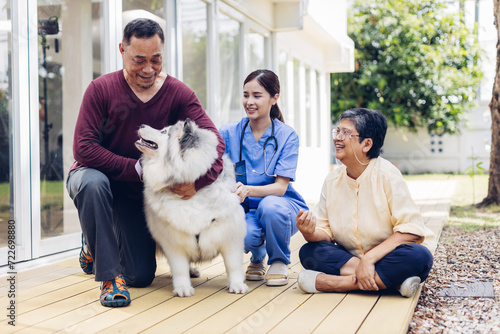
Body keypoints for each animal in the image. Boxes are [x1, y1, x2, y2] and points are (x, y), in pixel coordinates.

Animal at [136, 118, 247, 296]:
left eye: (164, 132)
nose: (141, 125)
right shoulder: (173, 242)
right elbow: (179, 268)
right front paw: (182, 288)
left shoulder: (231, 237)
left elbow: (233, 266)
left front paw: (237, 285)